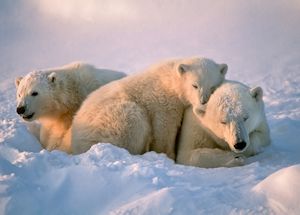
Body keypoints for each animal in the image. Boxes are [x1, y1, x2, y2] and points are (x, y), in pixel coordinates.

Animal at [69, 56, 226, 159]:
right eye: (195, 85)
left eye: (213, 87)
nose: (203, 101)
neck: (171, 81)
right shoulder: (163, 103)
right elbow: (164, 130)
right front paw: (168, 155)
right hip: (113, 119)